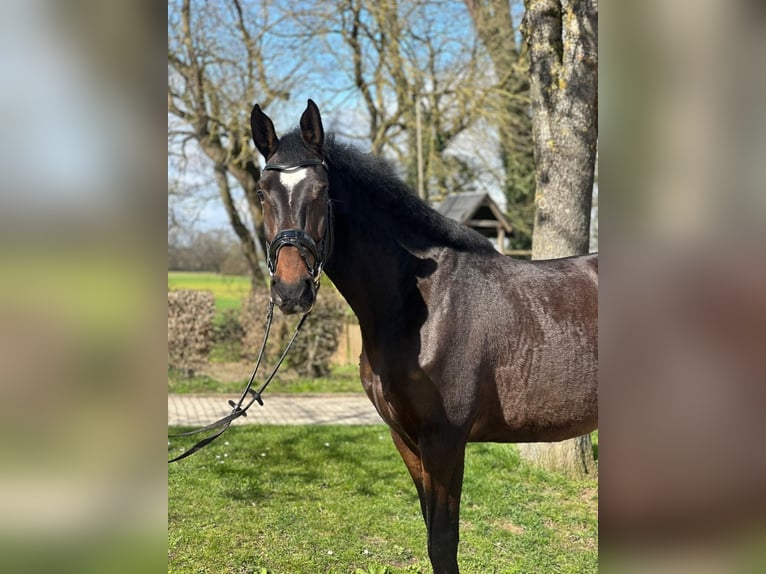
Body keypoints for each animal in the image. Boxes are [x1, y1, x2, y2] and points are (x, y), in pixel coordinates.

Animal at [250, 99, 598, 574]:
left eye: (322, 191)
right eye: (262, 193)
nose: (291, 290)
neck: (423, 310)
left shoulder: (444, 441)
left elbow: (443, 541)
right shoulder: (407, 439)